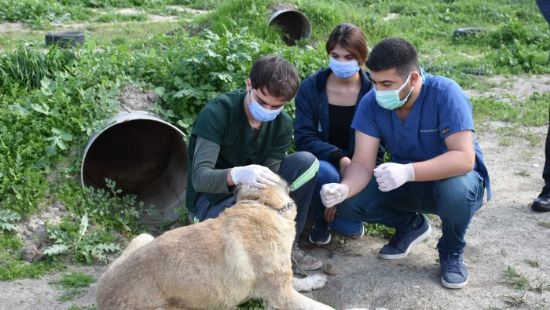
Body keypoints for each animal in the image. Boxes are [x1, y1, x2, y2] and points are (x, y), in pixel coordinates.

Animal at [96, 178, 334, 308]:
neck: (262, 204)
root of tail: (101, 297)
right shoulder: (281, 296)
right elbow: (321, 307)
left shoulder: (281, 285)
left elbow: (298, 282)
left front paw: (313, 280)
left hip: (144, 237)